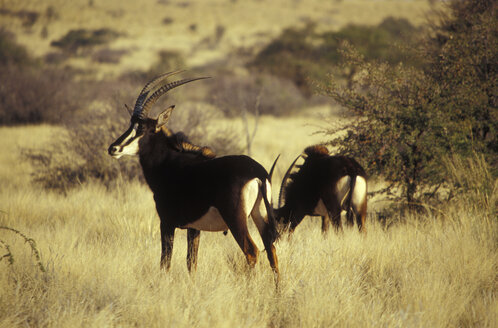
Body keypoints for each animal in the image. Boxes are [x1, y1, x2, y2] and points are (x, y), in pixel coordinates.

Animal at [108, 72, 280, 280]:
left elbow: (165, 263)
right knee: (272, 252)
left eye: (142, 129)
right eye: (130, 125)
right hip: (260, 215)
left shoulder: (166, 223)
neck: (169, 164)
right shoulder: (194, 228)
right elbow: (191, 263)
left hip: (236, 220)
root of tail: (258, 173)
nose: (113, 148)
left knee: (252, 251)